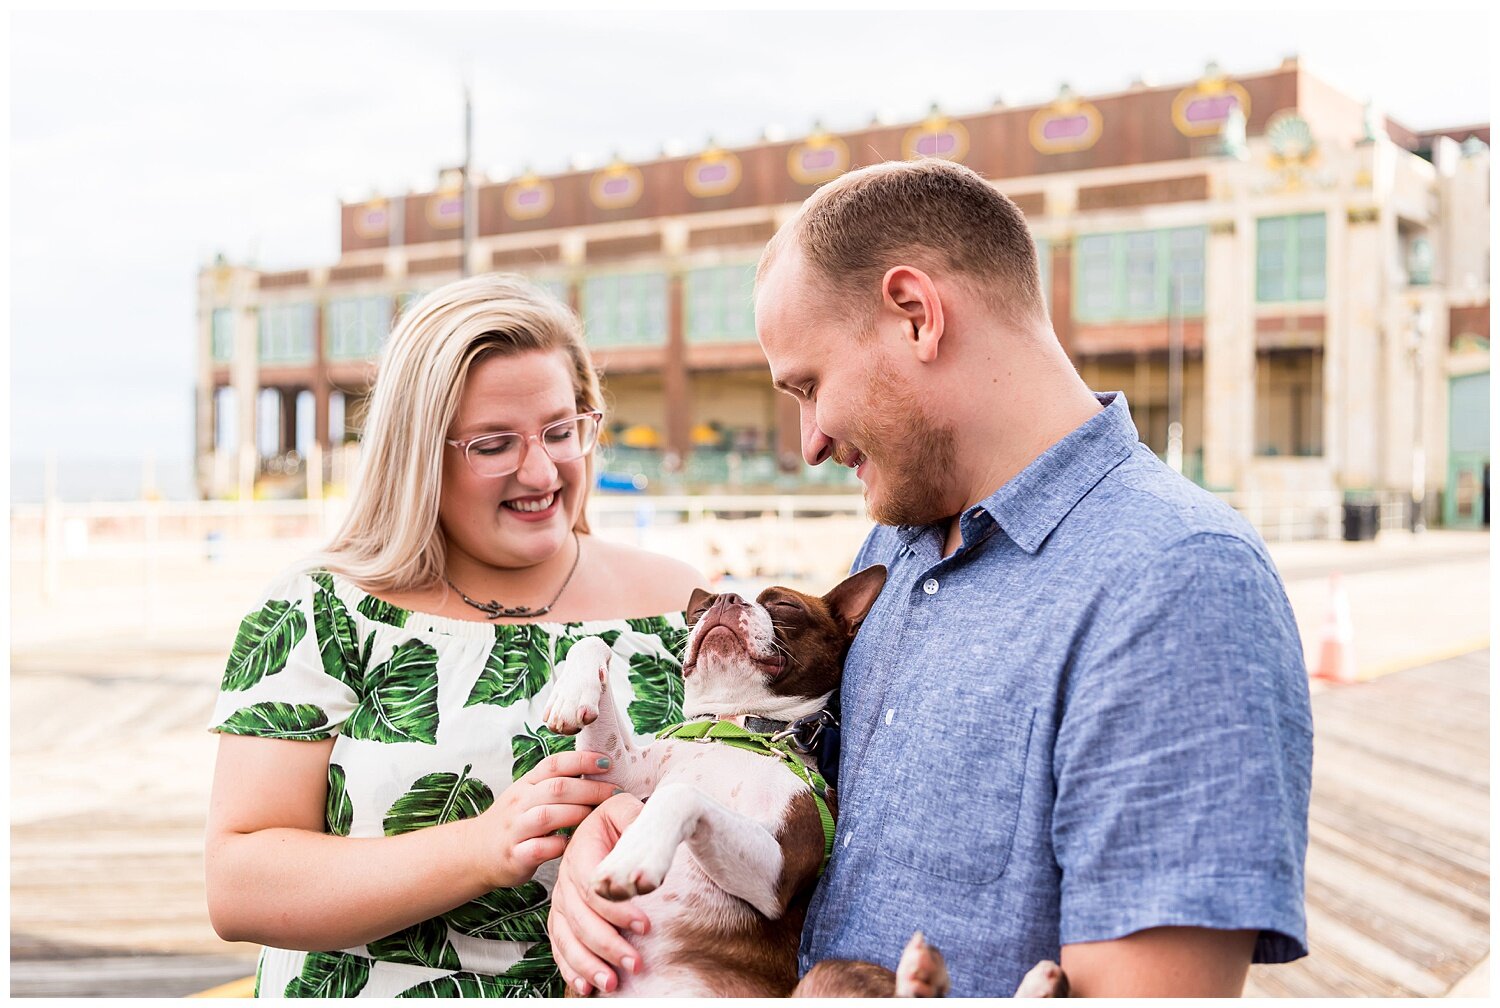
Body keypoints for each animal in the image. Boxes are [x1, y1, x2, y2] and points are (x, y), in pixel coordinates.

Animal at [540, 567, 1068, 1002]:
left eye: (786, 606)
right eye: (698, 610)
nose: (724, 598)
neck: (742, 729)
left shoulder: (777, 873)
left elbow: (681, 793)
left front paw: (635, 852)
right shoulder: (618, 770)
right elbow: (593, 645)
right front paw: (570, 695)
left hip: (824, 974)